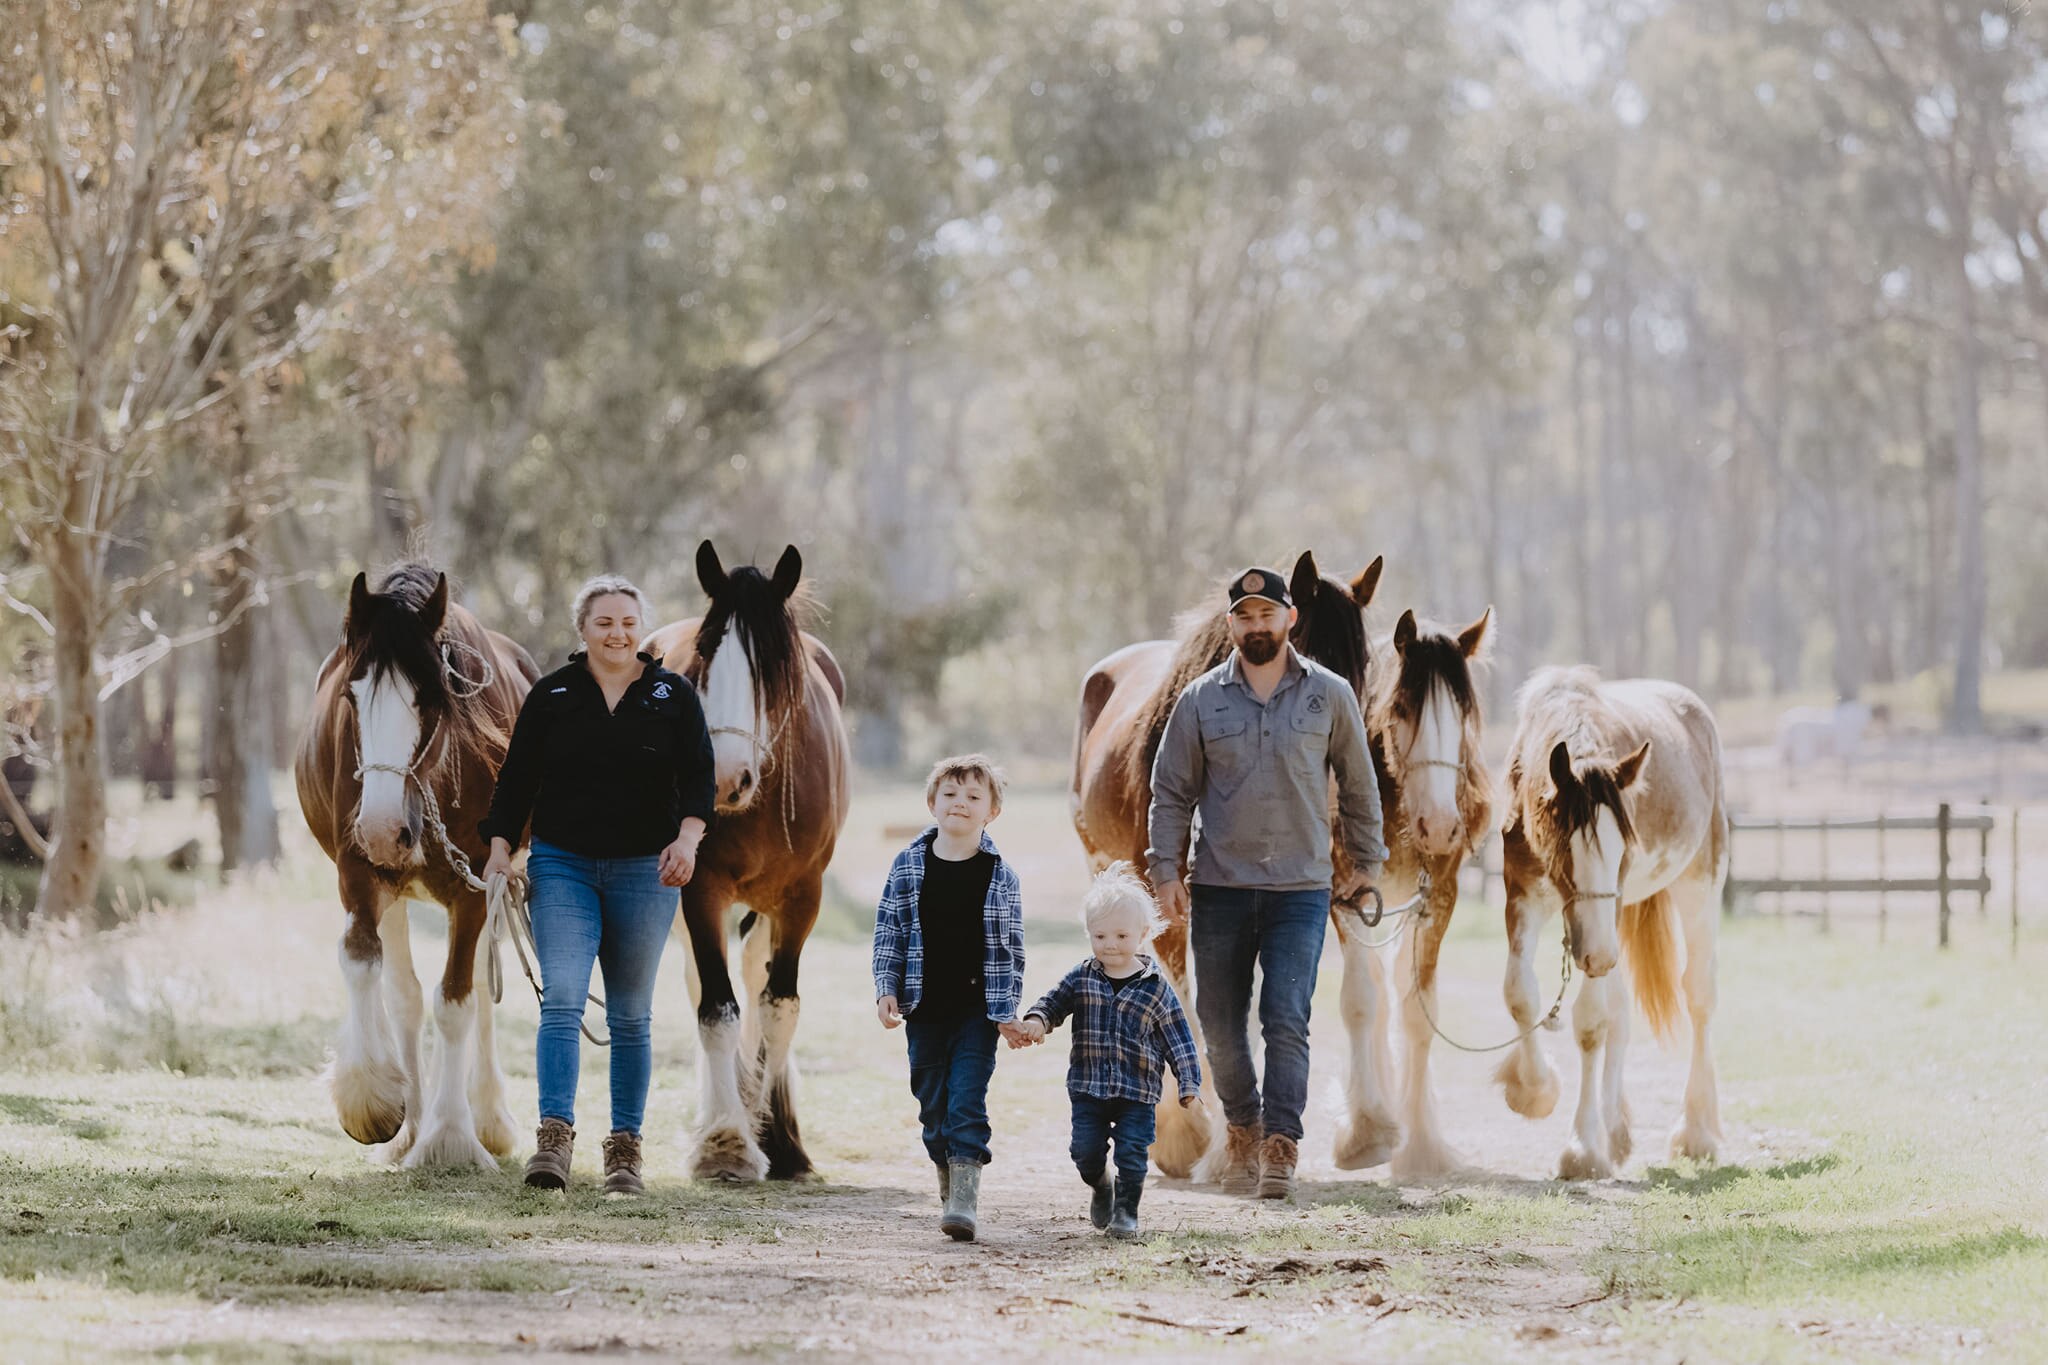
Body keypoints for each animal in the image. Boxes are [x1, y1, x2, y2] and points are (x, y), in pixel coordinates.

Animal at [294, 564, 539, 1167]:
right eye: (351, 696)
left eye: (430, 697)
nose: (384, 828)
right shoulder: (360, 873)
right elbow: (363, 964)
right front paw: (373, 1103)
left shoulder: (476, 886)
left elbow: (456, 1001)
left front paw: (450, 1136)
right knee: (404, 995)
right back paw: (409, 1127)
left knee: (481, 985)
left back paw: (487, 1117)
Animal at [640, 541, 850, 1182]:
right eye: (707, 653)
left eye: (774, 664)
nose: (726, 779)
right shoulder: (699, 888)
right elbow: (716, 1008)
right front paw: (727, 1142)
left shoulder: (804, 896)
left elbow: (779, 1007)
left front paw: (774, 1137)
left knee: (757, 968)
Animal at [1345, 605, 1493, 1180]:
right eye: (1404, 708)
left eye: (1463, 713)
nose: (1441, 826)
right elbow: (1361, 1004)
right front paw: (1366, 1132)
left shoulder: (1438, 898)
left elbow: (1416, 1010)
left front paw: (1421, 1146)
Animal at [1495, 666, 1727, 1180]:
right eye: (1566, 844)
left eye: (1623, 848)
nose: (1597, 955)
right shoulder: (1523, 897)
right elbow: (1520, 993)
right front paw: (1533, 1091)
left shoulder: (1604, 924)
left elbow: (1590, 1023)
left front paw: (1582, 1146)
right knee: (1621, 1009)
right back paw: (1615, 1129)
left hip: (1699, 885)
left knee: (1700, 996)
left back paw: (1697, 1131)